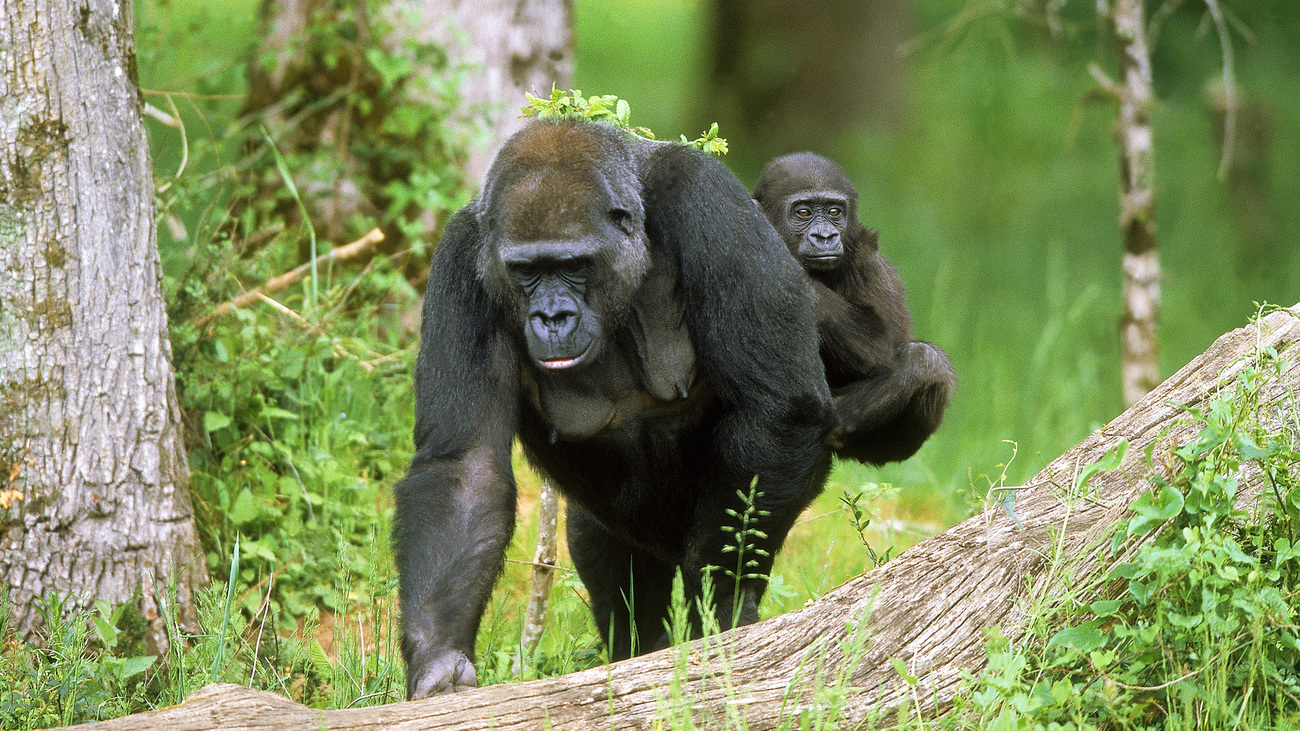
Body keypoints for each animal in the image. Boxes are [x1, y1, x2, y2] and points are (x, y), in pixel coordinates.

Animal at [390, 118, 832, 691]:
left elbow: (781, 406)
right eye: (525, 270)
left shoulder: (704, 196)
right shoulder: (462, 258)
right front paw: (440, 659)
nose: (552, 316)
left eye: (573, 266)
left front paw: (720, 603)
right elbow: (465, 469)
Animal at [754, 150, 956, 463]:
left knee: (926, 359)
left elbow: (878, 344)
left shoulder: (865, 257)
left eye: (835, 212)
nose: (825, 236)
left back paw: (834, 421)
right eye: (803, 212)